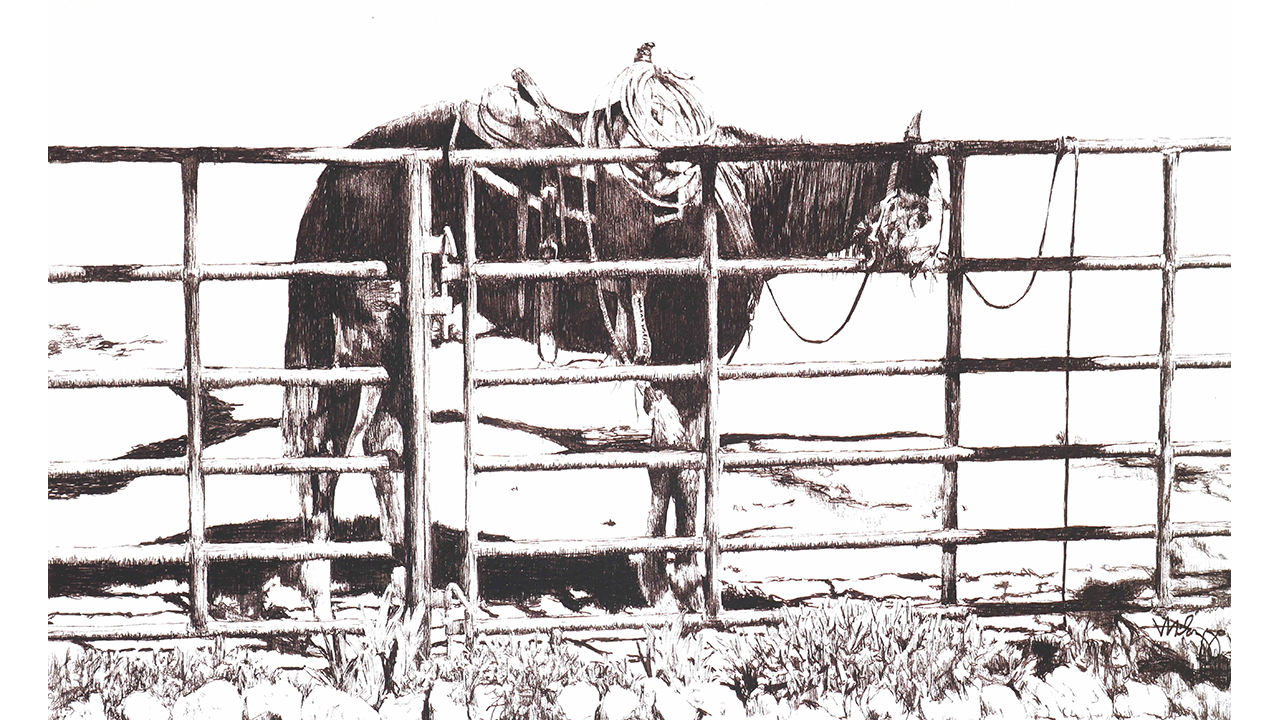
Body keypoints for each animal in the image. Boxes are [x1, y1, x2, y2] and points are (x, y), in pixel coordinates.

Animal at [283, 61, 941, 615]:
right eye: (921, 202)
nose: (933, 260)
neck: (734, 200)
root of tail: (335, 179)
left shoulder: (684, 367)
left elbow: (676, 457)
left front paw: (670, 577)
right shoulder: (679, 357)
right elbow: (677, 460)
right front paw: (673, 583)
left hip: (375, 349)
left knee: (361, 445)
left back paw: (382, 583)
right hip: (377, 340)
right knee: (355, 445)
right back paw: (356, 587)